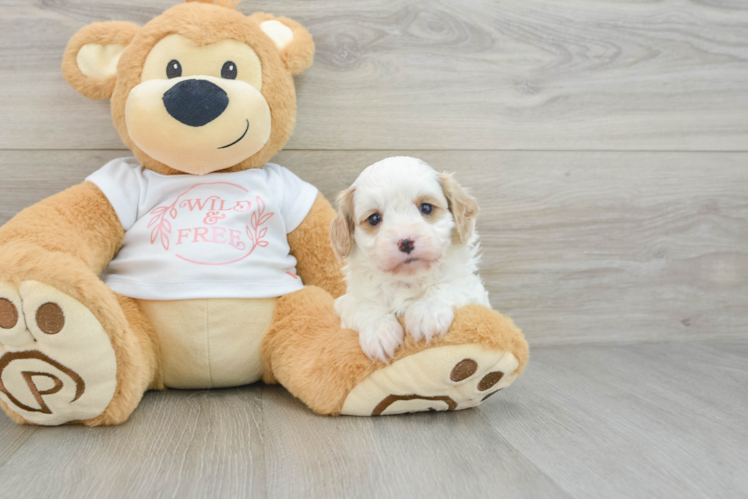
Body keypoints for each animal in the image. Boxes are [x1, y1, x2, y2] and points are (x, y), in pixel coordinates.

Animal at [330, 157, 488, 364]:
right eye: (374, 218)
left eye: (426, 208)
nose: (405, 242)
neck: (406, 279)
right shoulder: (346, 302)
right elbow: (363, 305)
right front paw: (379, 332)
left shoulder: (473, 290)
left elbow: (448, 285)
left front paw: (426, 312)